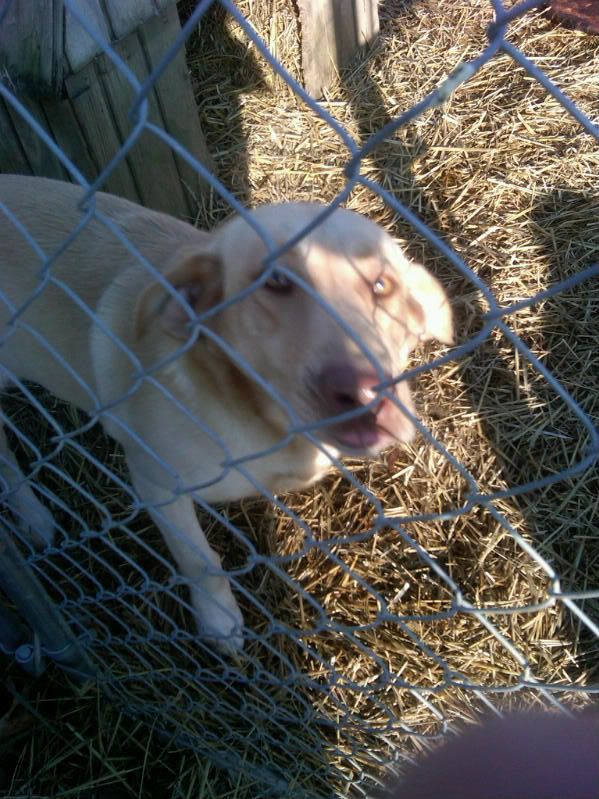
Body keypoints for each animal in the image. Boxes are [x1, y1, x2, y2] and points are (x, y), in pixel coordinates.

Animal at [0, 175, 450, 648]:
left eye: (383, 286)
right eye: (275, 281)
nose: (364, 393)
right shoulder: (156, 483)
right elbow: (202, 562)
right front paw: (219, 621)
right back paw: (34, 518)